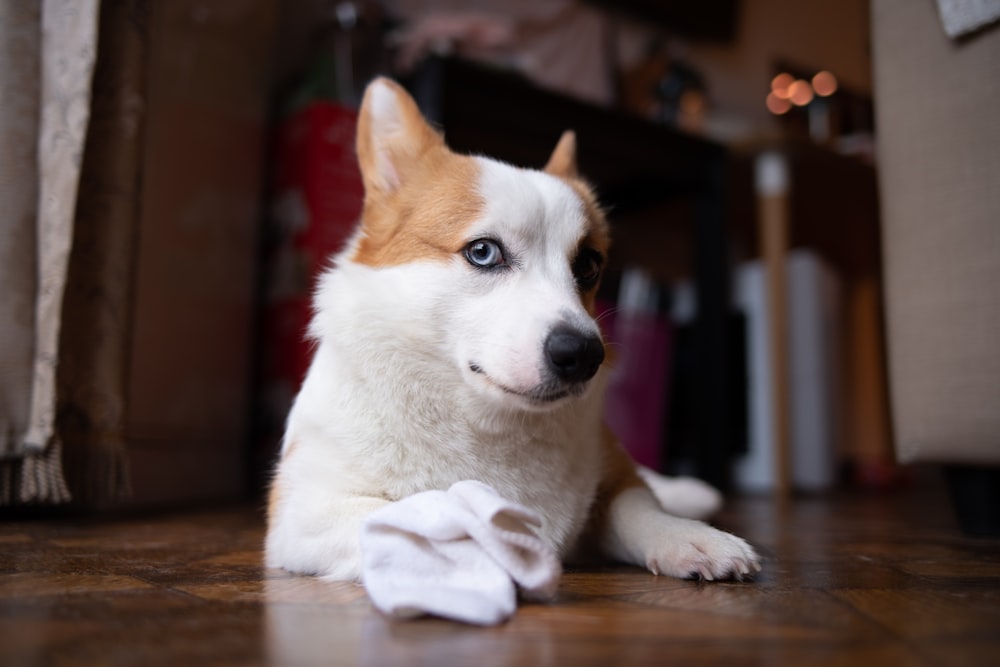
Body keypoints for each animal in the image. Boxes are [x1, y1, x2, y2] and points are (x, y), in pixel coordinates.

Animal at [266, 75, 756, 580]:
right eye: (483, 252)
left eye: (588, 266)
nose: (585, 356)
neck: (489, 420)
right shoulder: (304, 517)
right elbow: (427, 516)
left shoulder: (615, 480)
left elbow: (636, 505)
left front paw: (689, 537)